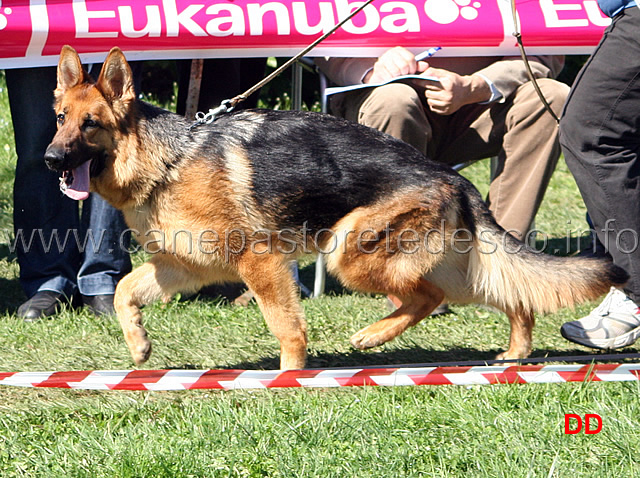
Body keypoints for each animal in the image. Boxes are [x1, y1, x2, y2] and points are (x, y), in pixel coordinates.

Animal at [45, 46, 624, 370]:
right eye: (59, 119)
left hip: (350, 255)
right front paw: (139, 346)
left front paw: (289, 375)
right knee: (507, 294)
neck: (165, 160)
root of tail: (450, 177)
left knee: (429, 297)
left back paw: (372, 335)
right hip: (446, 265)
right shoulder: (182, 267)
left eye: (90, 125)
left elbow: (285, 325)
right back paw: (515, 354)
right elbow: (124, 290)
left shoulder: (259, 264)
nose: (50, 159)